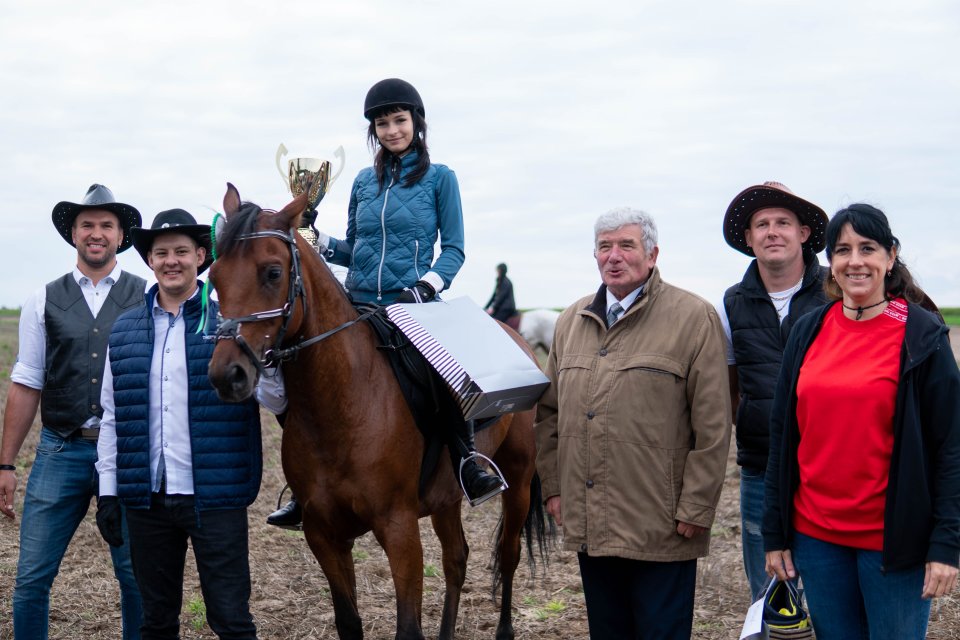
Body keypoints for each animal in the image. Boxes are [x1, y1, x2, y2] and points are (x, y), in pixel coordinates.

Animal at [205, 185, 544, 640]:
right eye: (214, 277)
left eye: (273, 272)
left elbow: (408, 628)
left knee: (508, 555)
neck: (342, 407)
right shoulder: (324, 534)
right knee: (457, 559)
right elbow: (349, 621)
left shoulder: (399, 529)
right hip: (446, 498)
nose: (228, 375)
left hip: (518, 480)